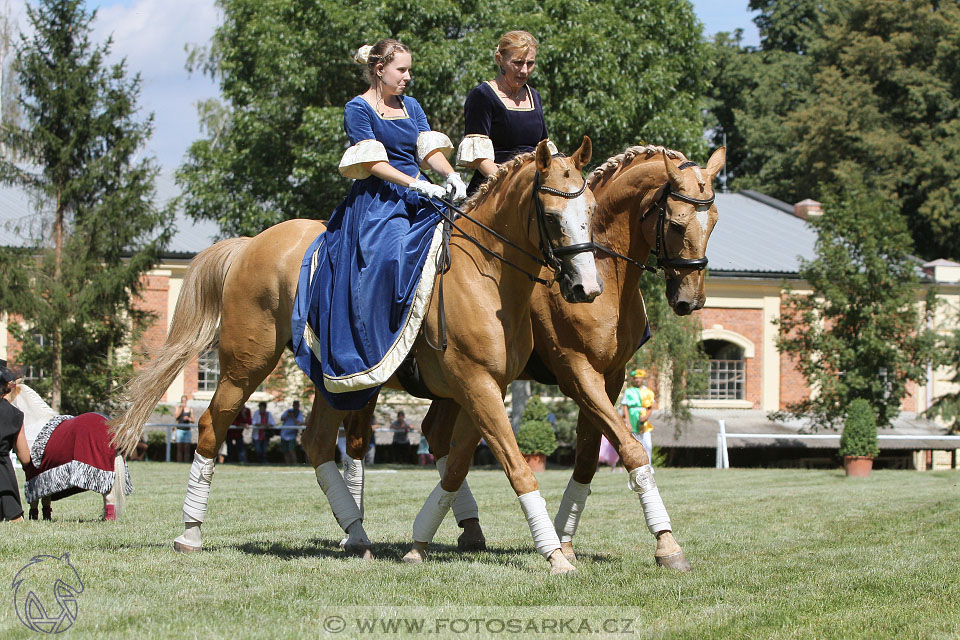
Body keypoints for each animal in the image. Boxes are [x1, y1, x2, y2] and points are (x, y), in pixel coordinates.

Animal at [109, 139, 596, 576]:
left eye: (590, 213)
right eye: (552, 217)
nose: (585, 289)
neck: (487, 276)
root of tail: (250, 245)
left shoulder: (484, 389)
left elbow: (457, 467)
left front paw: (420, 542)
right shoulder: (474, 385)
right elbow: (515, 467)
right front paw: (554, 556)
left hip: (332, 380)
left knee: (317, 441)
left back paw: (357, 536)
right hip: (246, 365)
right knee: (213, 425)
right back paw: (191, 532)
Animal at [342, 144, 724, 568]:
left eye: (714, 223)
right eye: (675, 224)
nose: (690, 300)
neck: (606, 276)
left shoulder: (609, 377)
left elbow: (589, 458)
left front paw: (565, 540)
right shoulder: (576, 373)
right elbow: (630, 449)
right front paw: (666, 544)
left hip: (453, 388)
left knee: (437, 438)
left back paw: (466, 529)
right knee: (357, 442)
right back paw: (358, 533)